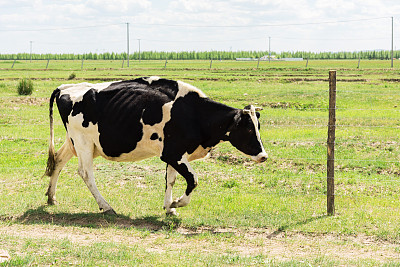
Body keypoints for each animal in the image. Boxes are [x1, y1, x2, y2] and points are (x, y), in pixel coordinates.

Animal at [43, 77, 268, 216]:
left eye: (258, 127)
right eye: (249, 129)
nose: (264, 155)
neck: (194, 113)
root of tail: (66, 87)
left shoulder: (175, 155)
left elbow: (171, 180)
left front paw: (169, 207)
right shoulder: (173, 154)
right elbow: (193, 180)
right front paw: (177, 203)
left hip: (74, 143)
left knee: (58, 161)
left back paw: (51, 197)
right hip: (83, 143)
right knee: (86, 173)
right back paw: (106, 206)